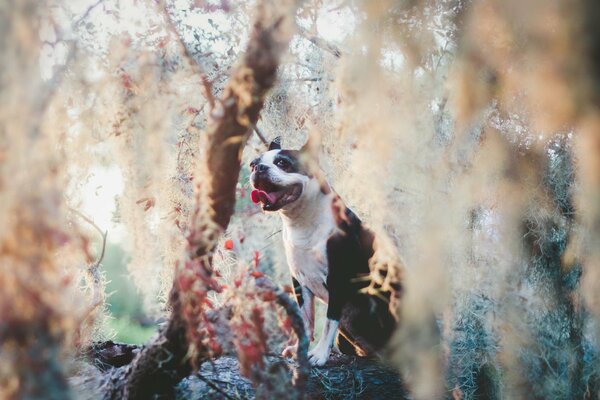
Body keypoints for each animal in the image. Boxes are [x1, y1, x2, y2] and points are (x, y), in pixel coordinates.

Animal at [248, 137, 398, 366]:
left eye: (283, 163)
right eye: (252, 164)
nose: (259, 168)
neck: (301, 221)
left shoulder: (338, 279)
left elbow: (329, 320)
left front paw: (319, 354)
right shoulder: (299, 281)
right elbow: (304, 320)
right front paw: (299, 349)